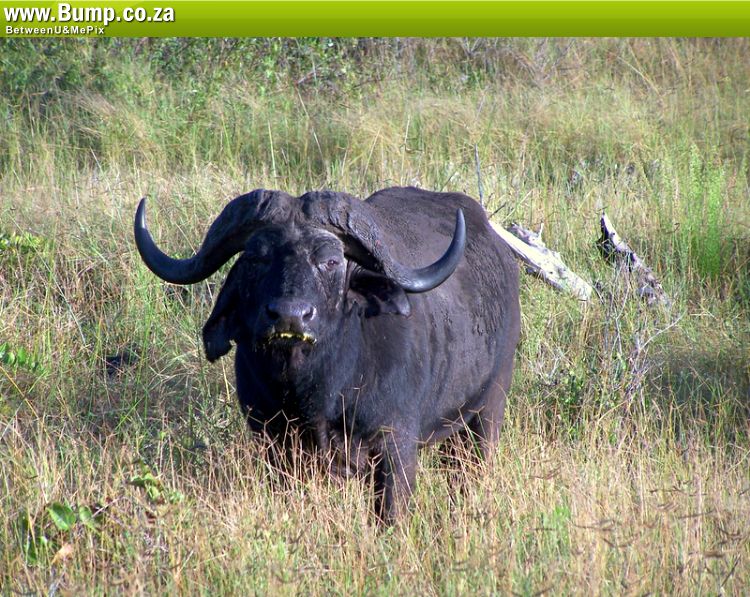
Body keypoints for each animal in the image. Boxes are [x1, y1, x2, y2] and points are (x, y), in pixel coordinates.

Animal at [134, 186, 520, 523]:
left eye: (331, 261)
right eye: (257, 257)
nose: (290, 315)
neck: (319, 389)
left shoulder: (397, 447)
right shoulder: (274, 444)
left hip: (487, 412)